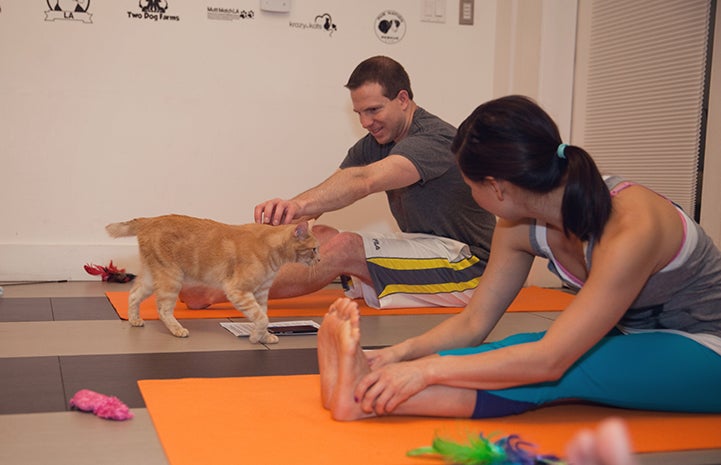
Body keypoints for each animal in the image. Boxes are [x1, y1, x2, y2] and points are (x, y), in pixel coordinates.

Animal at [105, 214, 320, 340]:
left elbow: (264, 316)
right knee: (163, 310)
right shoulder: (238, 291)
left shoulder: (261, 293)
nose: (320, 259)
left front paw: (264, 337)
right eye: (315, 249)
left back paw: (134, 319)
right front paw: (256, 337)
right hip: (171, 278)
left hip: (153, 277)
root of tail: (150, 219)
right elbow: (261, 317)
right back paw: (177, 330)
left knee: (133, 295)